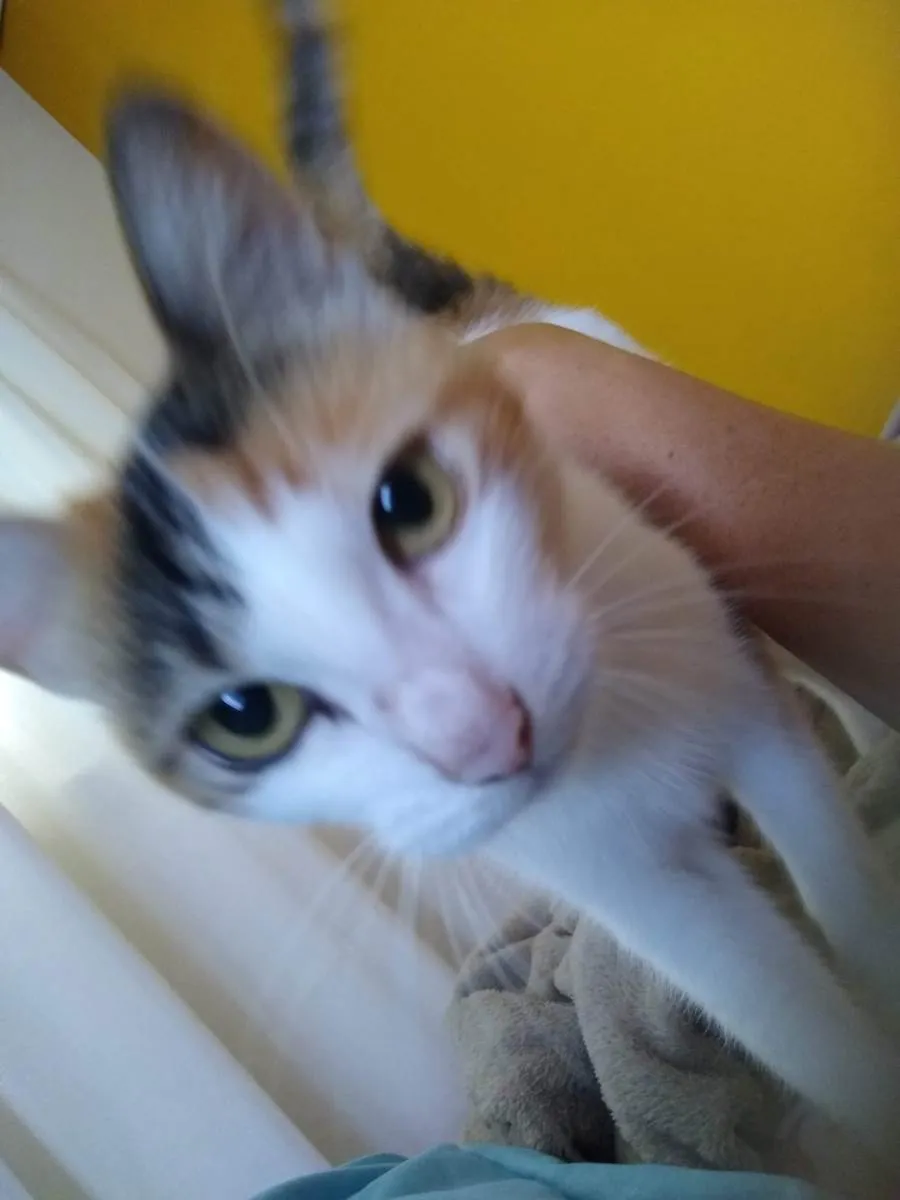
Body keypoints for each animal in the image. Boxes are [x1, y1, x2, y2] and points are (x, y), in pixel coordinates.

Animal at [0, 4, 898, 1184]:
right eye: (245, 716)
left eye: (409, 500)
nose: (485, 733)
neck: (615, 748)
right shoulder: (644, 892)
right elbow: (777, 1009)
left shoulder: (730, 679)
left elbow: (837, 874)